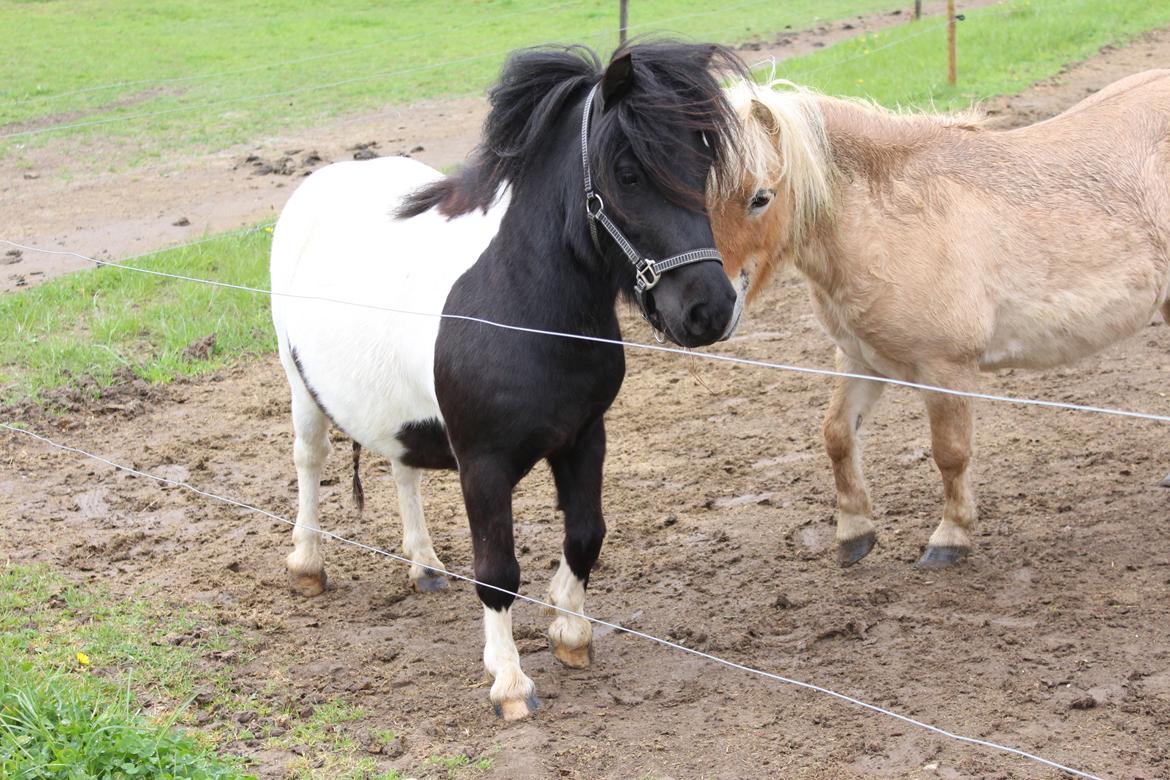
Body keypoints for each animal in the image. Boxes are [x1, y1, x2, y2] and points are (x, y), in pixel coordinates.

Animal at [269, 44, 748, 720]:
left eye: (702, 162)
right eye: (628, 173)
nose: (709, 310)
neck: (520, 301)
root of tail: (319, 182)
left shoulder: (584, 437)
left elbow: (585, 536)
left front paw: (571, 634)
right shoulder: (484, 464)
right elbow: (497, 572)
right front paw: (511, 682)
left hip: (398, 411)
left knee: (403, 469)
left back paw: (424, 566)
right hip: (300, 387)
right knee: (310, 461)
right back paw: (308, 564)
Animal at [706, 73, 1170, 570]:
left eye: (760, 197)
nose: (712, 311)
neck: (887, 222)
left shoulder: (947, 368)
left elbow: (950, 453)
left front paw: (951, 536)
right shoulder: (858, 358)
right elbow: (837, 435)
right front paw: (854, 533)